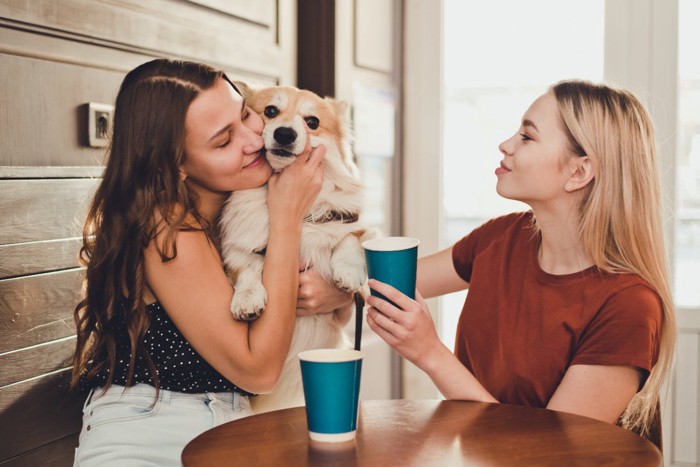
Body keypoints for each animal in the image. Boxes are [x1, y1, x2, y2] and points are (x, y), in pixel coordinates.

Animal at [219, 82, 372, 414]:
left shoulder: (361, 227)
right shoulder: (239, 247)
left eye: (312, 122)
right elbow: (247, 267)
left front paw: (349, 273)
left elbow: (349, 240)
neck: (301, 214)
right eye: (270, 111)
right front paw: (247, 299)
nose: (285, 134)